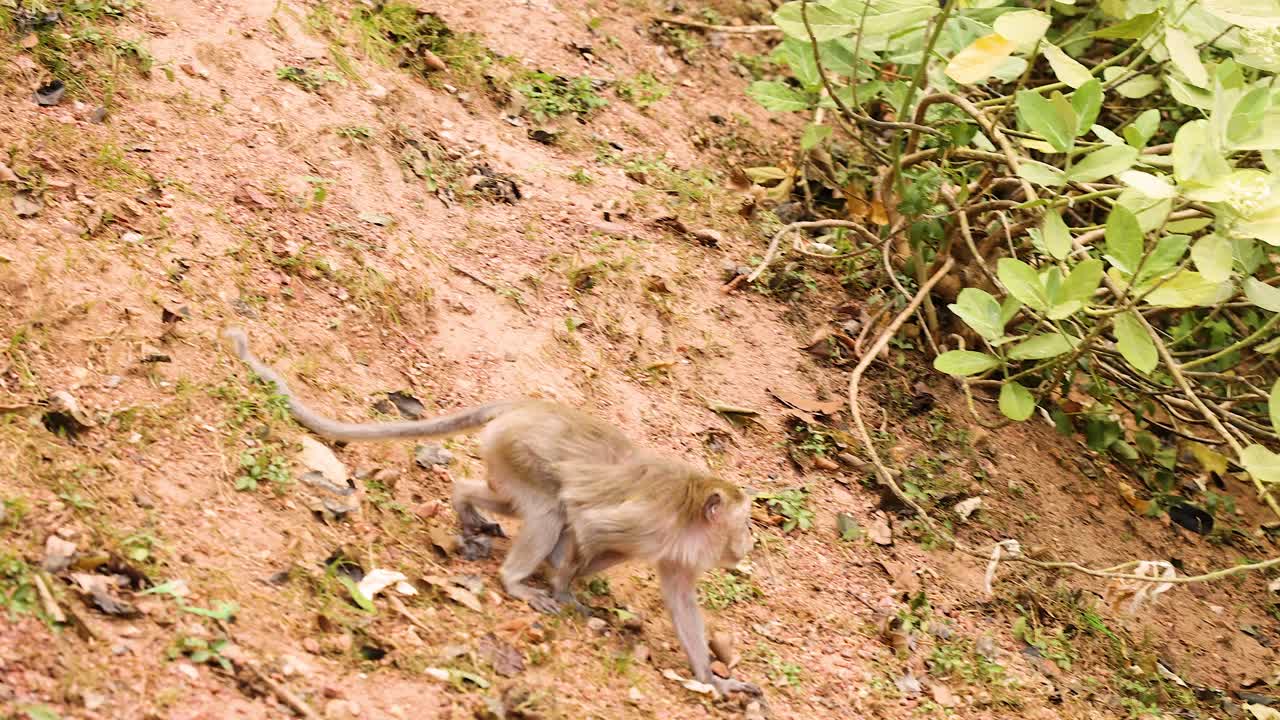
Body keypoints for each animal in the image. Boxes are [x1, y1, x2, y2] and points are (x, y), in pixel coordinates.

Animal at [223, 328, 762, 698]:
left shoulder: (677, 550)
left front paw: (711, 679)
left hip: (503, 454)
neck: (692, 515)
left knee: (513, 499)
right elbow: (589, 527)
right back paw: (514, 581)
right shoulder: (652, 521)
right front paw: (563, 589)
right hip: (520, 448)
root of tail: (524, 406)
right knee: (550, 511)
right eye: (745, 524)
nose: (748, 545)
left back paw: (467, 504)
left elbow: (676, 596)